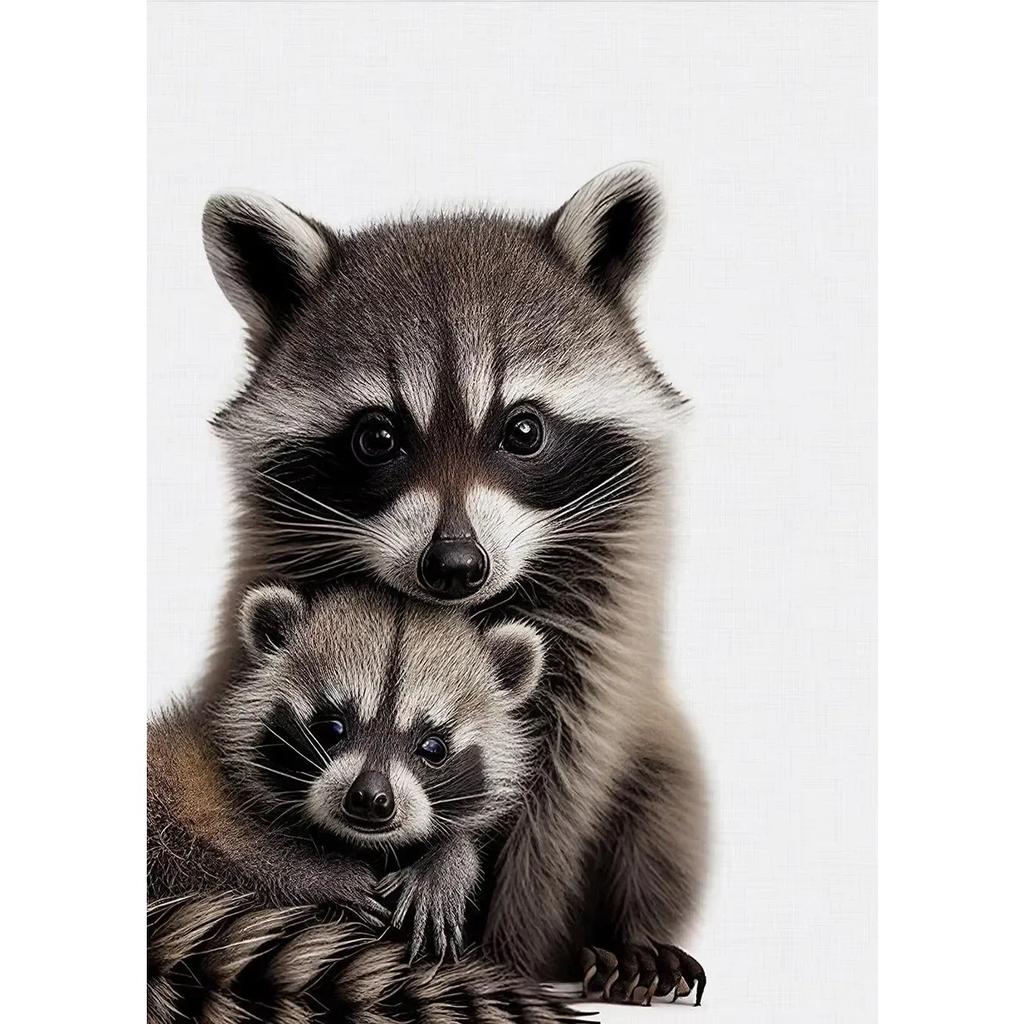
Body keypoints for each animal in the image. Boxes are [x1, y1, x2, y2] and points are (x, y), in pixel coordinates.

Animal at [198, 164, 709, 984]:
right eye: (377, 437)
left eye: (523, 430)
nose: (456, 566)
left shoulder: (598, 627)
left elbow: (560, 788)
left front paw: (513, 951)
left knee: (664, 807)